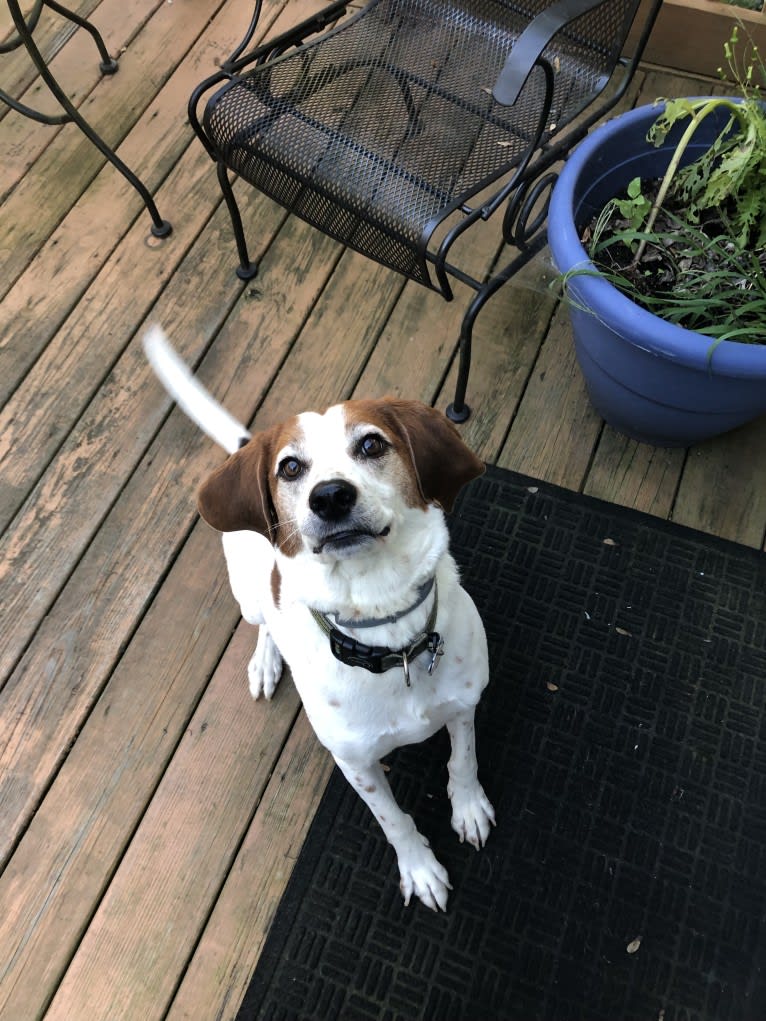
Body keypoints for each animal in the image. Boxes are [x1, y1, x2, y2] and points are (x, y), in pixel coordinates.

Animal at [142, 324, 494, 910]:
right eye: (290, 467)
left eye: (372, 443)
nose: (329, 496)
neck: (386, 631)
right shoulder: (357, 765)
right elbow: (393, 820)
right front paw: (419, 867)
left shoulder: (464, 706)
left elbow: (462, 760)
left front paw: (467, 807)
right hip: (248, 593)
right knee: (264, 622)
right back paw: (265, 662)